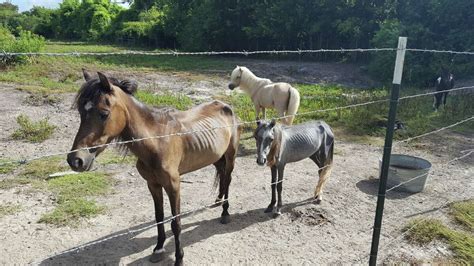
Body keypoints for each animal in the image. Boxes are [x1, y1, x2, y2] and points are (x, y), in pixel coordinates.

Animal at [66, 69, 241, 264]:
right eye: (81, 112)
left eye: (104, 113)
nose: (76, 160)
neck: (157, 141)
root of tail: (225, 106)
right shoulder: (153, 184)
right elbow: (159, 217)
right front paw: (158, 249)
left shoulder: (173, 186)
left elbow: (176, 222)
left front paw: (179, 258)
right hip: (216, 156)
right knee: (222, 175)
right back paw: (218, 200)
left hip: (230, 156)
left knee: (228, 178)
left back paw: (225, 212)